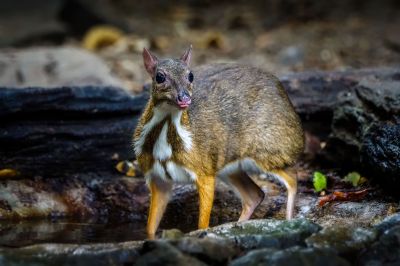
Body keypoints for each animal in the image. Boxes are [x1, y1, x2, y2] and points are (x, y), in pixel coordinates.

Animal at [134, 45, 304, 239]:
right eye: (160, 77)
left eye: (190, 75)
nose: (184, 99)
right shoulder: (157, 179)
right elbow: (150, 229)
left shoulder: (204, 172)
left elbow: (202, 225)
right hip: (229, 167)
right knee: (254, 196)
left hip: (268, 153)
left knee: (292, 179)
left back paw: (289, 222)